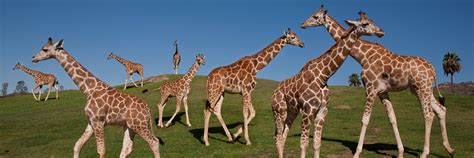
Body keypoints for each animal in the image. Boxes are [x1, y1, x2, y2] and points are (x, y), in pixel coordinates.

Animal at [32, 37, 161, 157]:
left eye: (45, 49)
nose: (33, 58)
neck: (88, 90)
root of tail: (148, 109)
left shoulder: (98, 121)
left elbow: (101, 151)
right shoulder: (91, 121)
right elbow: (77, 145)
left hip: (139, 124)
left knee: (154, 142)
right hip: (129, 126)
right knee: (127, 148)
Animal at [274, 12, 386, 158]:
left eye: (372, 20)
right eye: (365, 24)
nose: (381, 31)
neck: (323, 75)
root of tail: (274, 91)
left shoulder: (322, 111)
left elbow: (317, 144)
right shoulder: (308, 110)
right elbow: (303, 144)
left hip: (292, 111)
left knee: (283, 136)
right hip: (279, 111)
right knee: (278, 138)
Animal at [304, 4, 456, 157]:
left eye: (315, 16)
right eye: (367, 22)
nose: (303, 24)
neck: (362, 56)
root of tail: (433, 70)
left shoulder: (370, 88)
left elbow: (365, 119)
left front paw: (357, 153)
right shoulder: (382, 91)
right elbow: (392, 119)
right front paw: (400, 152)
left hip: (422, 88)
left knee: (429, 114)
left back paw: (425, 153)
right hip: (421, 89)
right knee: (441, 109)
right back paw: (450, 149)